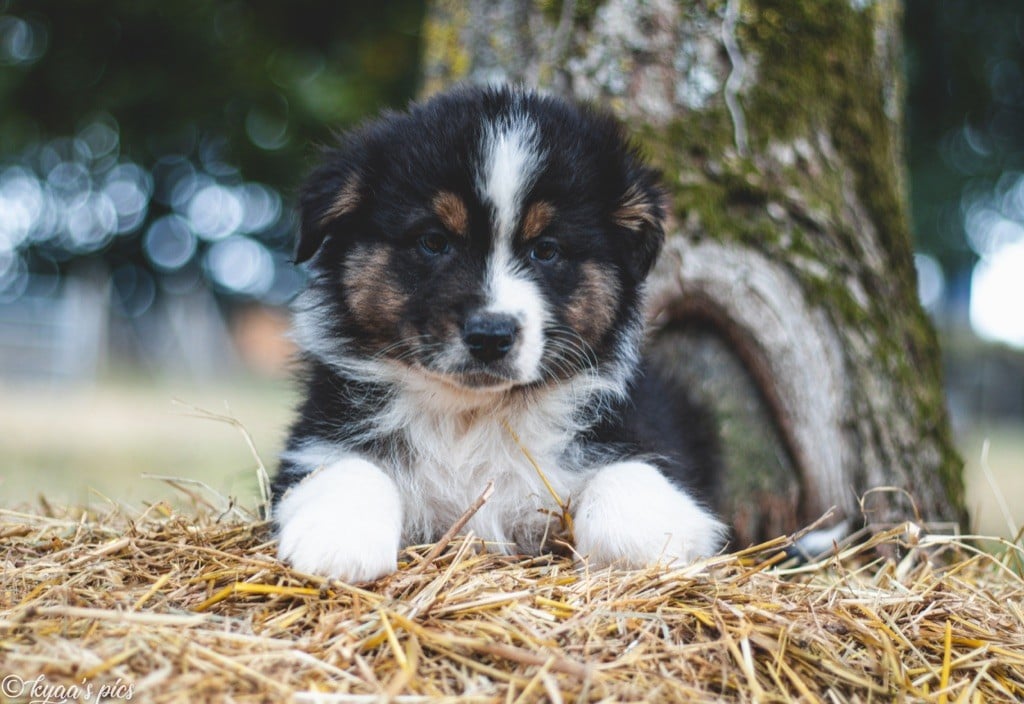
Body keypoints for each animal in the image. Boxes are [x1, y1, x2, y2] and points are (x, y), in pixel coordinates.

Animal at [268, 86, 724, 581]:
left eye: (546, 249)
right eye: (434, 241)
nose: (490, 336)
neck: (473, 415)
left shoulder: (639, 433)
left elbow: (632, 474)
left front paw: (637, 541)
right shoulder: (316, 438)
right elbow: (345, 465)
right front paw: (338, 539)